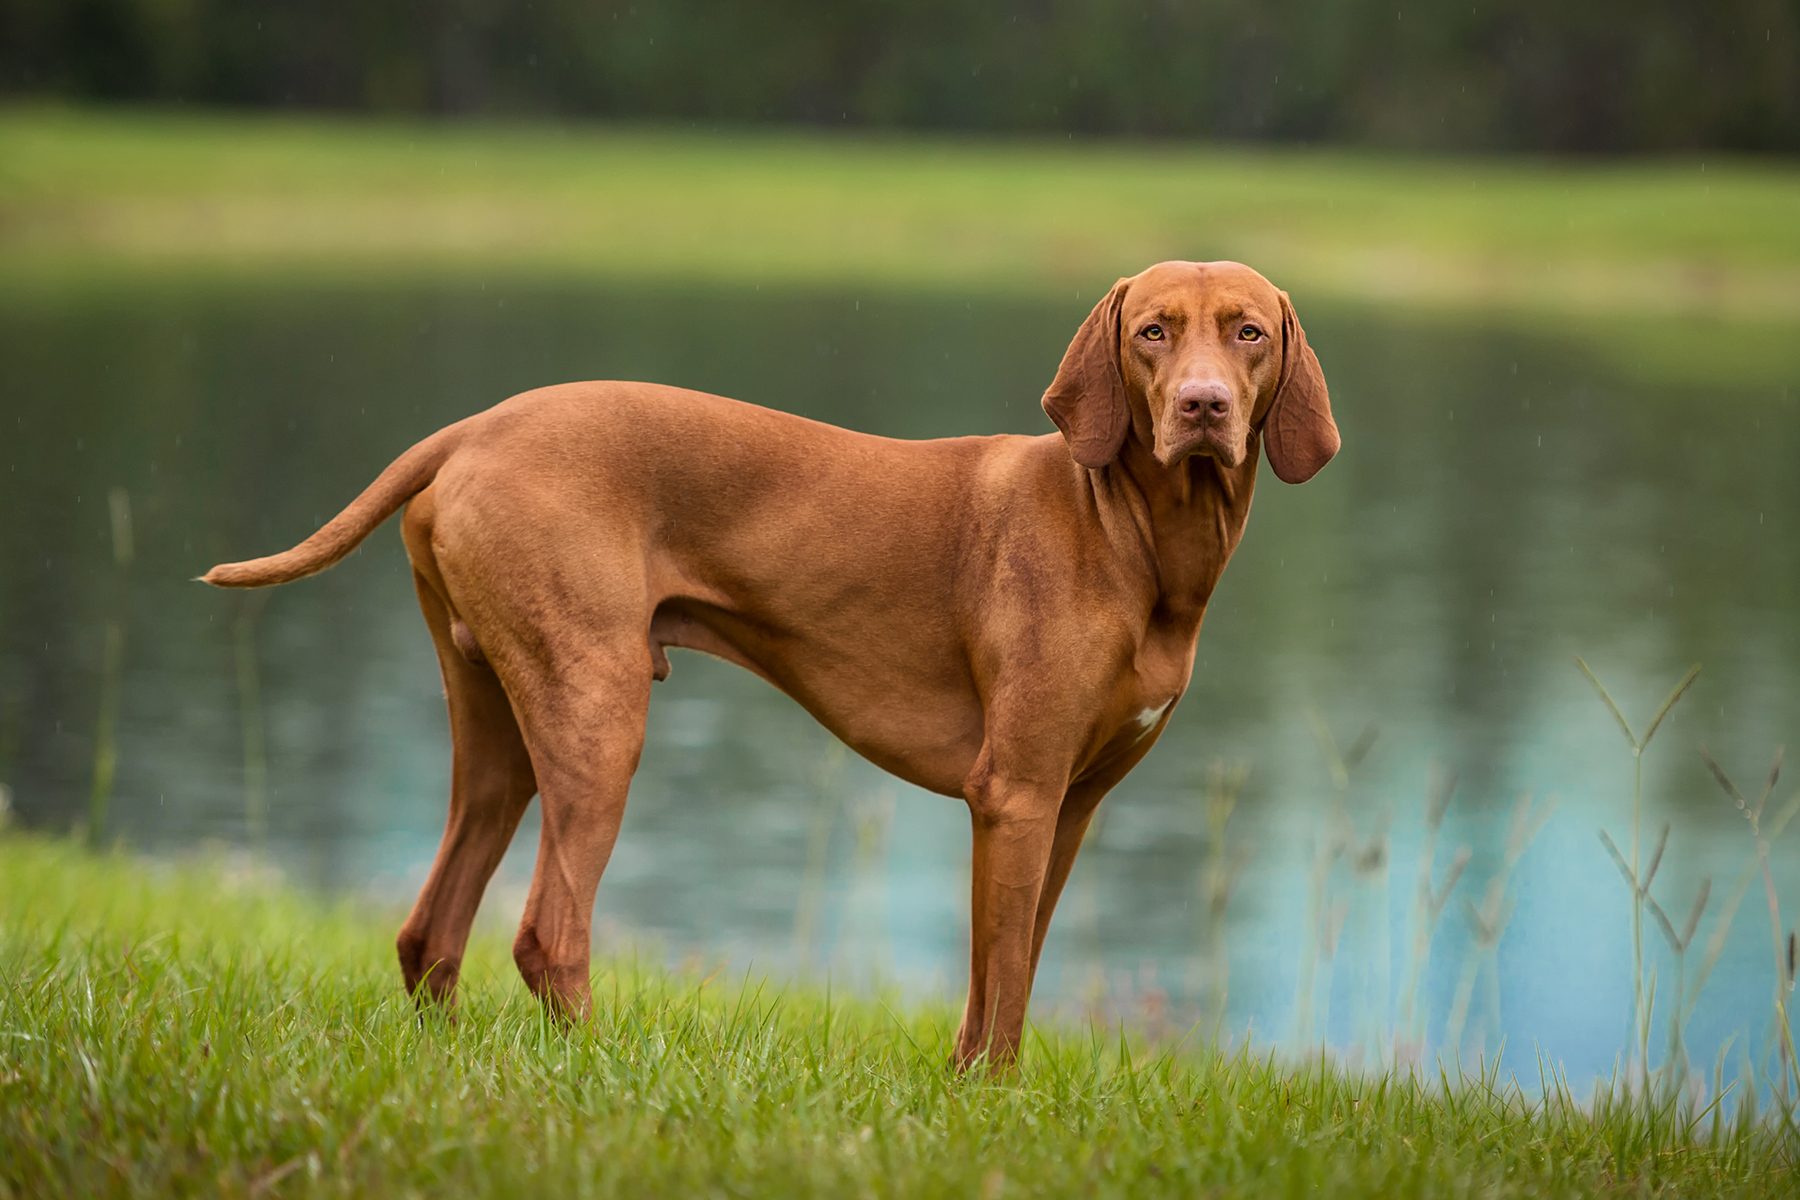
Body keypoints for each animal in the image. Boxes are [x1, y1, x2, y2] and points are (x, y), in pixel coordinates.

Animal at [207, 262, 1339, 1072]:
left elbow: (1000, 975)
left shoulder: (1067, 807)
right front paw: (993, 1101)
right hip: (598, 718)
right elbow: (1008, 979)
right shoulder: (1015, 794)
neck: (1133, 538)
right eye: (1153, 331)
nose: (1202, 407)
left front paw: (969, 1090)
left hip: (500, 734)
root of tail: (475, 426)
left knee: (431, 928)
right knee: (545, 932)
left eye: (1249, 331)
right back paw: (600, 1070)